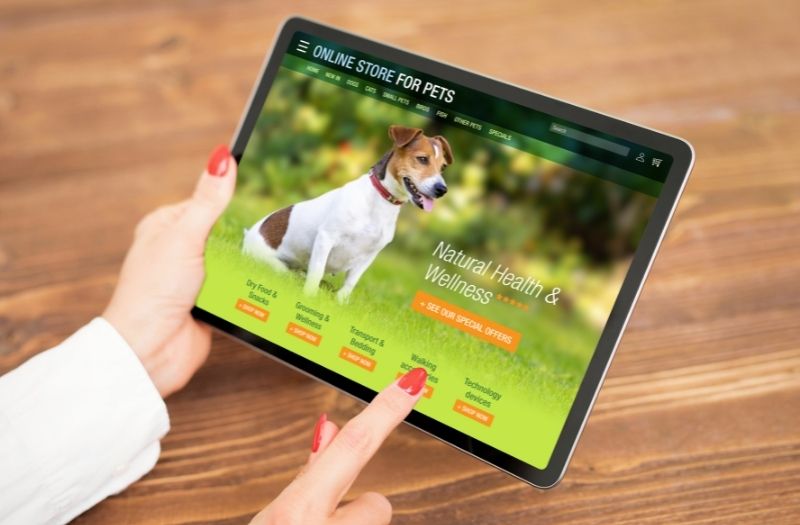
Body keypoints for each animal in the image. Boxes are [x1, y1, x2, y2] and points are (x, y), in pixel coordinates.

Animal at [244, 124, 454, 300]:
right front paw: (309, 297)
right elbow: (316, 271)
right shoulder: (326, 238)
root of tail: (248, 234)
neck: (380, 201)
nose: (442, 189)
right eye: (422, 159)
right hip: (275, 265)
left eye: (443, 167)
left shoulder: (370, 255)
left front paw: (340, 305)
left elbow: (351, 283)